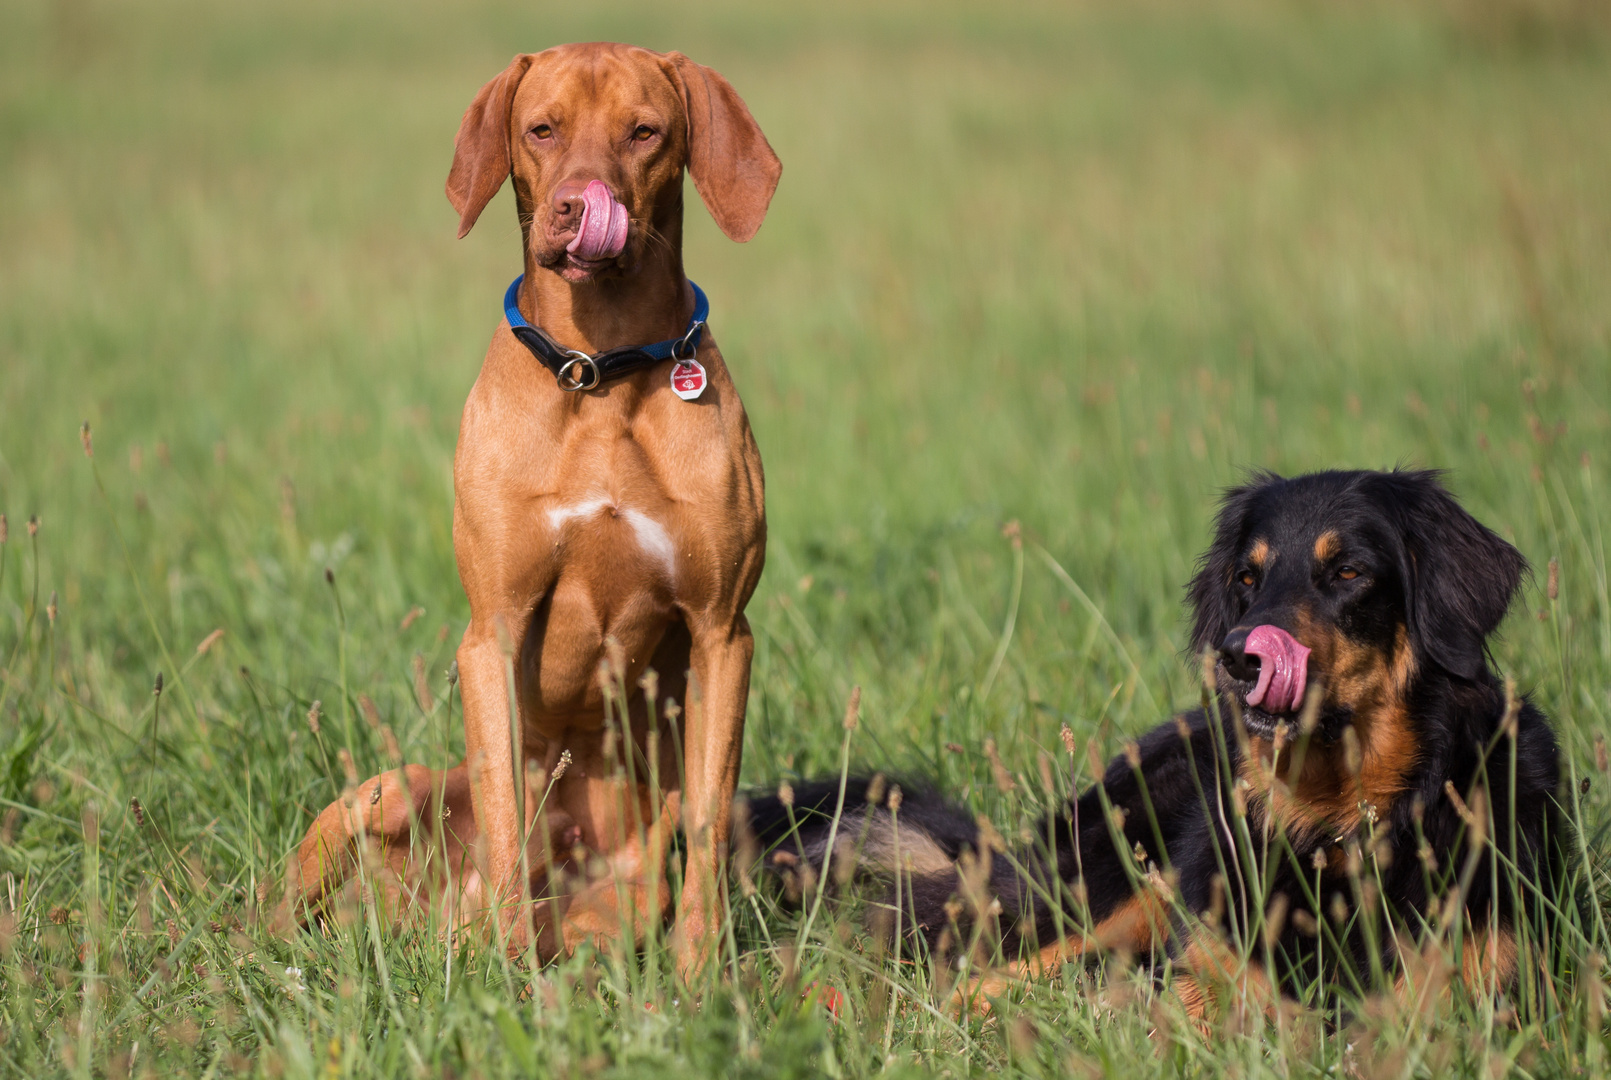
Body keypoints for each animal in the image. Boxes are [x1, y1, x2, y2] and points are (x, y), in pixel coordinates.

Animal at [288, 40, 779, 980]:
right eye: (541, 130)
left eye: (644, 132)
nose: (577, 208)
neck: (601, 370)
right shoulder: (493, 630)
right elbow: (505, 807)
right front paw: (503, 973)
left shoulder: (720, 633)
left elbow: (707, 812)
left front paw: (703, 977)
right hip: (382, 791)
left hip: (617, 905)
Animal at [744, 470, 1572, 1018]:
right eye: (1247, 577)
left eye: (1347, 571)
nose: (1239, 658)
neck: (1334, 821)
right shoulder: (1204, 961)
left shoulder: (1485, 982)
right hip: (1115, 888)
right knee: (956, 978)